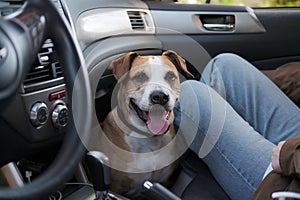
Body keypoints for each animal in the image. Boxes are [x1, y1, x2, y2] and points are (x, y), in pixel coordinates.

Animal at [100, 49, 195, 198]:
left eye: (171, 76)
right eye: (140, 77)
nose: (160, 96)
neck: (149, 140)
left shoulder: (164, 181)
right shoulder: (115, 188)